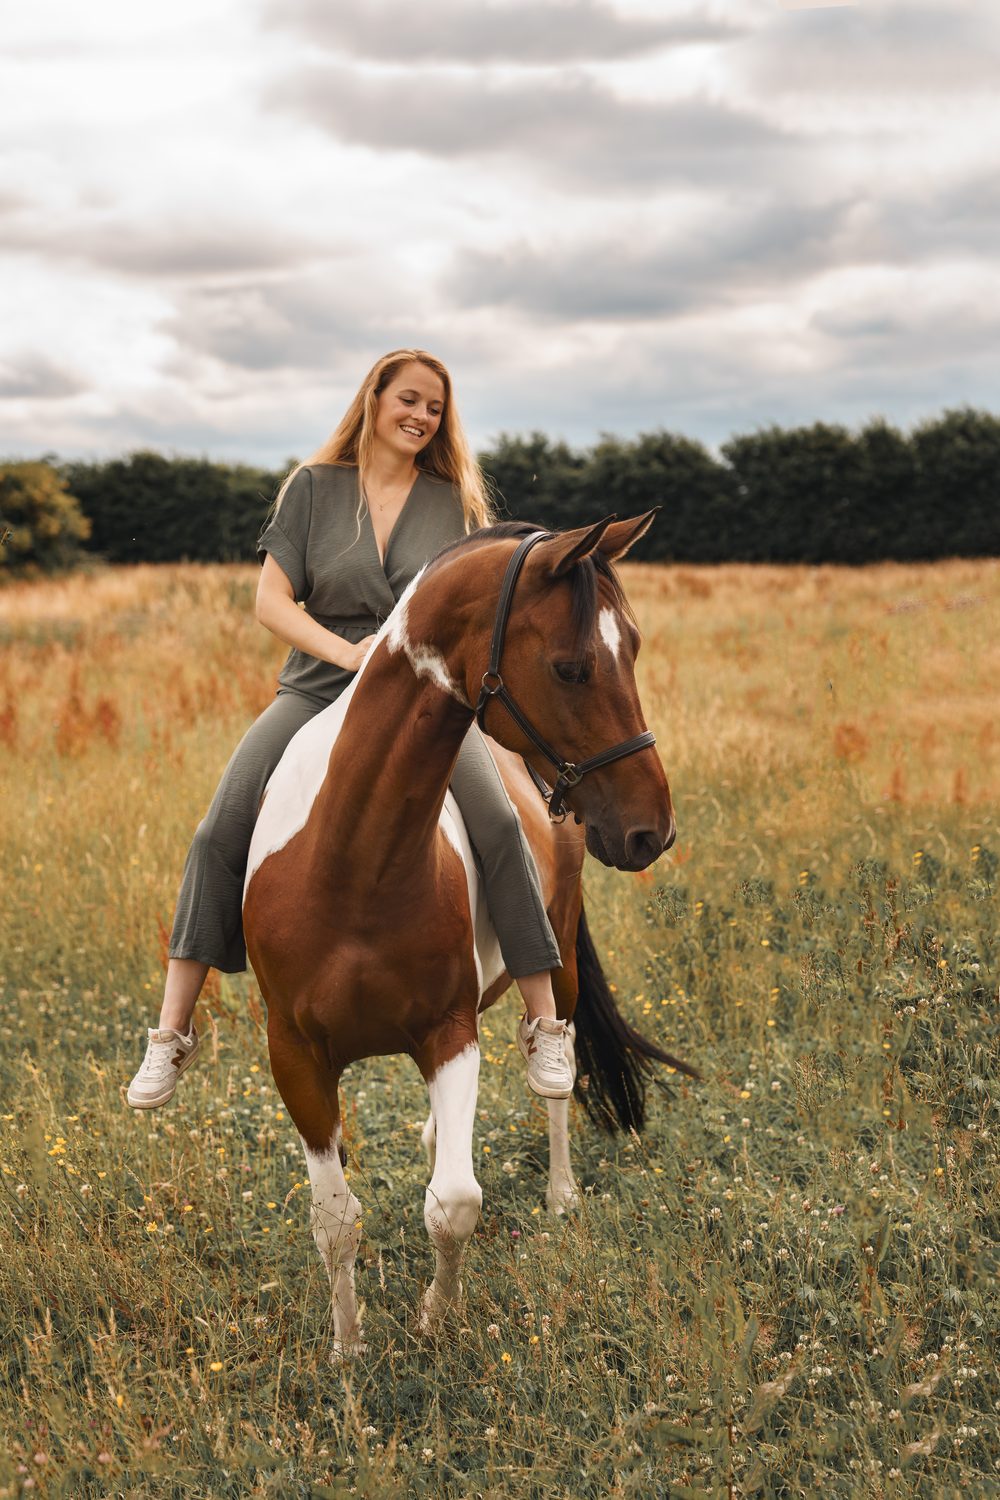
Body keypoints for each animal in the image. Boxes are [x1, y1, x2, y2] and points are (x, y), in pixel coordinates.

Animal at [242, 514, 695, 1356]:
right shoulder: (295, 1056)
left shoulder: (448, 1033)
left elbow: (452, 1202)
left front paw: (434, 1318)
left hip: (558, 956)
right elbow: (334, 1217)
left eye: (635, 647)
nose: (652, 831)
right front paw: (347, 1348)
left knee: (556, 1066)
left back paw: (560, 1193)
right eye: (571, 667)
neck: (353, 859)